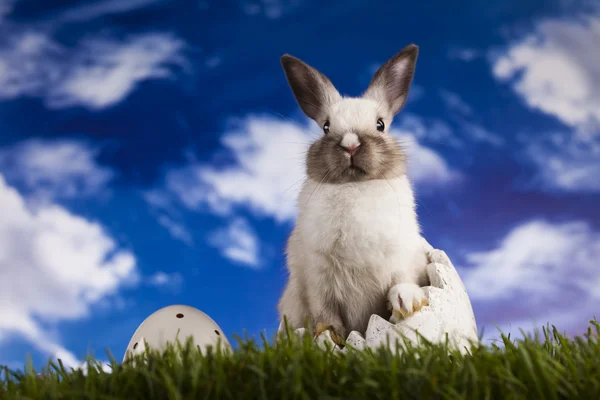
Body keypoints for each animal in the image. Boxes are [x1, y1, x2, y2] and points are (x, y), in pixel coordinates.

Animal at [278, 43, 432, 344]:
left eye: (380, 124)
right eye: (326, 127)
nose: (350, 145)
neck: (353, 186)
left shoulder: (402, 257)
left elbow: (401, 280)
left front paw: (407, 301)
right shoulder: (317, 276)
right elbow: (325, 311)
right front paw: (327, 336)